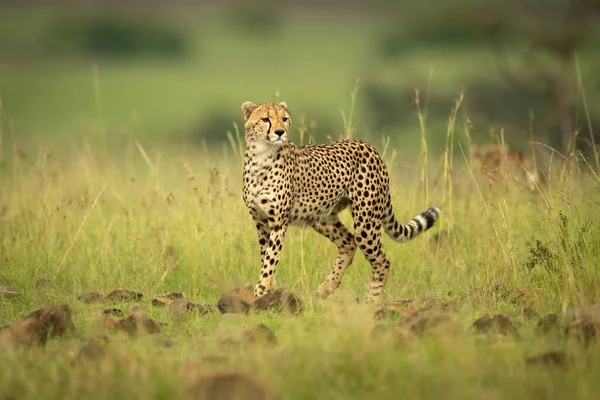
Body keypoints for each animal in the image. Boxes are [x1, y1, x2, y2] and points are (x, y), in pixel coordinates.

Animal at [240, 101, 440, 304]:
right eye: (265, 119)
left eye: (285, 118)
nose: (280, 131)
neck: (261, 157)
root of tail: (369, 146)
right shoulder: (261, 222)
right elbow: (265, 254)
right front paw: (269, 290)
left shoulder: (278, 223)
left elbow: (270, 259)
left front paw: (261, 291)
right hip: (321, 217)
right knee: (349, 243)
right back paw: (327, 288)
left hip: (365, 223)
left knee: (382, 260)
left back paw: (371, 301)